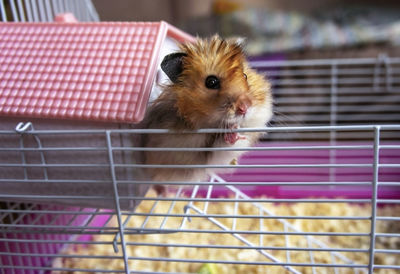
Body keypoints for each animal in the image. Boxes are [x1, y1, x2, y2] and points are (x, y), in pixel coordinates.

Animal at [139, 34, 274, 188]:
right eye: (211, 82)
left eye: (245, 76)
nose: (245, 107)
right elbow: (220, 148)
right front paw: (232, 132)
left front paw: (236, 129)